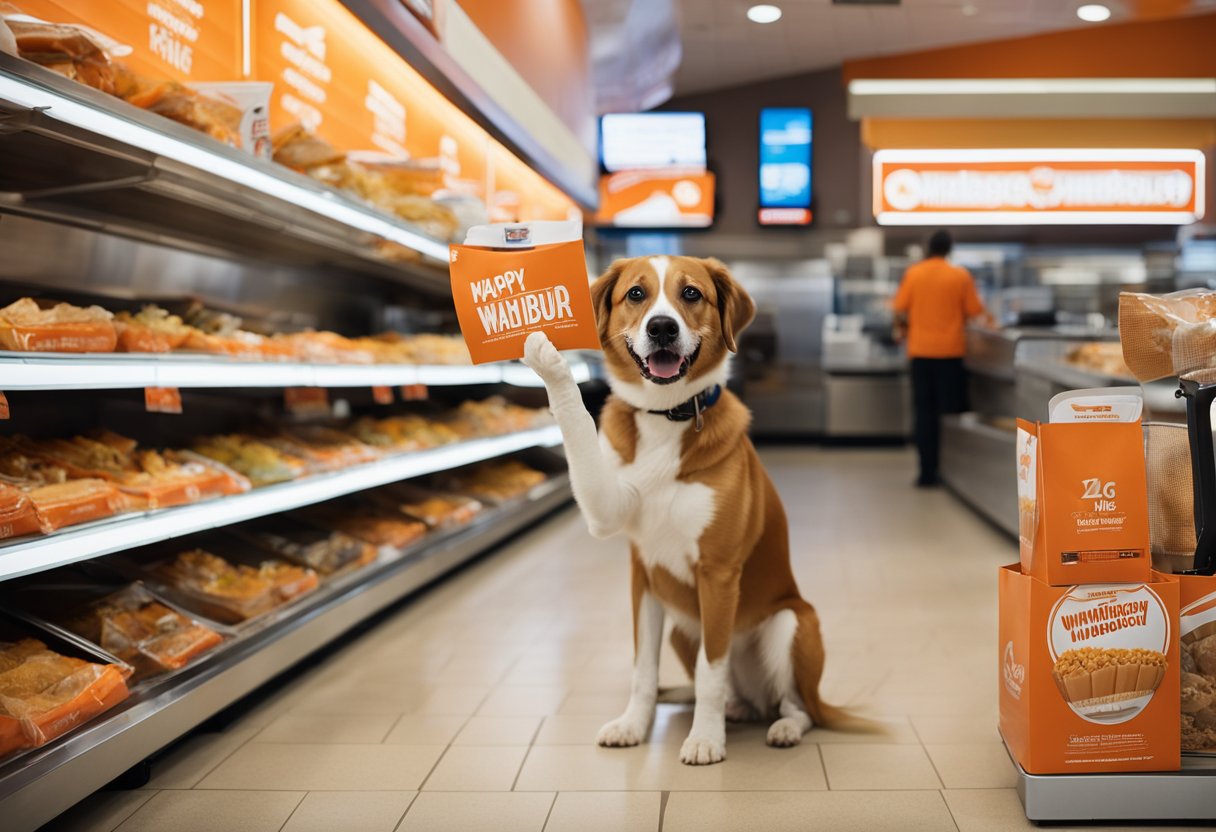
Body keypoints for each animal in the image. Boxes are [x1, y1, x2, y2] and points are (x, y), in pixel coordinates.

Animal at [522, 255, 846, 768]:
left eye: (691, 293)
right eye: (636, 294)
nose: (661, 327)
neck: (665, 418)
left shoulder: (717, 574)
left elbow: (711, 669)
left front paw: (706, 739)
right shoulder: (625, 545)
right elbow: (643, 669)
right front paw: (634, 725)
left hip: (793, 623)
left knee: (797, 705)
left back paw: (782, 728)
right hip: (679, 628)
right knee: (729, 691)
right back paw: (731, 708)